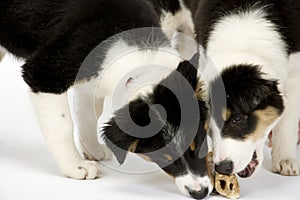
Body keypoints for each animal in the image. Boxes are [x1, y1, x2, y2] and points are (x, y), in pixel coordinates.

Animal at [0, 0, 213, 198]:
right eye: (164, 157)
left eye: (197, 143)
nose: (200, 193)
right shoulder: (43, 74)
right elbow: (62, 125)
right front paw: (76, 166)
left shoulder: (92, 80)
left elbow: (88, 114)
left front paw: (92, 149)